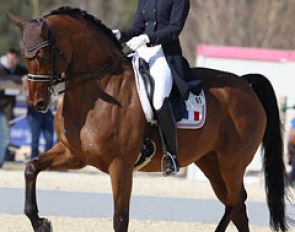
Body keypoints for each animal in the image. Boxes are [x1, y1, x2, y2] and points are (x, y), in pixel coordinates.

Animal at [8, 6, 290, 232]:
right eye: (23, 54)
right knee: (235, 206)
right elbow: (31, 167)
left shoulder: (120, 166)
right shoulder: (75, 154)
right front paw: (40, 222)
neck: (98, 90)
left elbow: (120, 219)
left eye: (43, 55)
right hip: (210, 163)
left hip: (231, 164)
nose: (37, 103)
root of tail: (245, 83)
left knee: (237, 202)